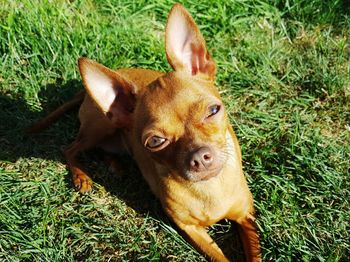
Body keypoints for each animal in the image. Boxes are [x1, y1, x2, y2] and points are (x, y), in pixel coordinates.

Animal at [28, 4, 262, 262]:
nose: (200, 157)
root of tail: (86, 93)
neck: (209, 188)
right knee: (70, 148)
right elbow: (219, 257)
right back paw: (82, 177)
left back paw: (115, 165)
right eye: (156, 141)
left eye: (213, 111)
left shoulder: (246, 216)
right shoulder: (192, 231)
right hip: (99, 126)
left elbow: (254, 253)